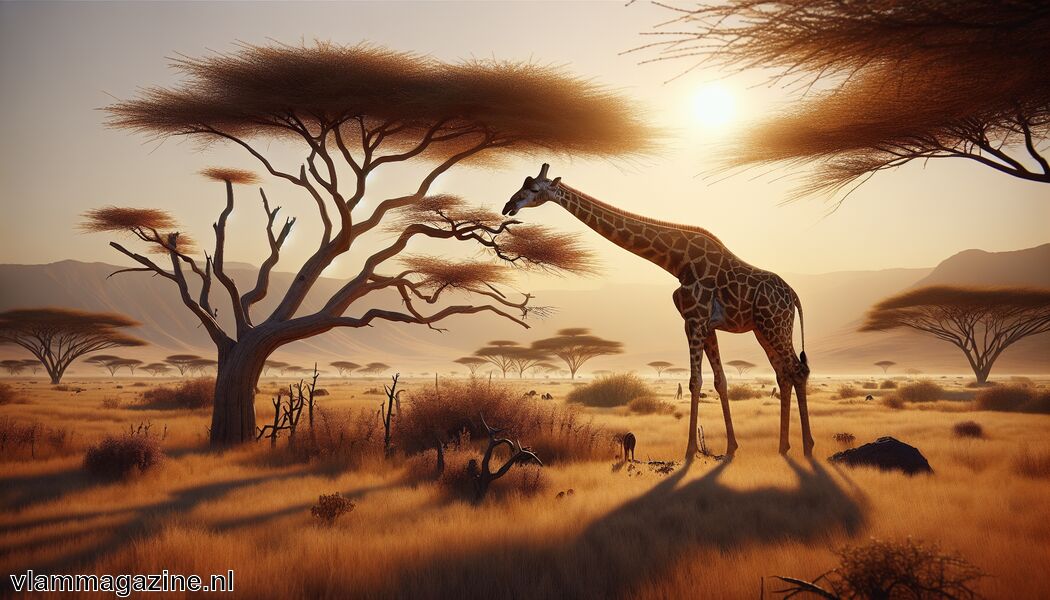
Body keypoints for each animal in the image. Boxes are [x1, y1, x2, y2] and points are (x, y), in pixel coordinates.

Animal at [503, 164, 813, 459]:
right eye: (521, 183)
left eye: (533, 189)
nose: (508, 206)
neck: (677, 261)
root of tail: (795, 297)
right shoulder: (704, 324)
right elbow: (721, 381)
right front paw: (731, 448)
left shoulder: (694, 320)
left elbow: (695, 381)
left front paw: (689, 451)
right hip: (763, 329)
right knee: (783, 373)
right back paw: (783, 446)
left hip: (774, 325)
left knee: (797, 370)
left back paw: (807, 446)